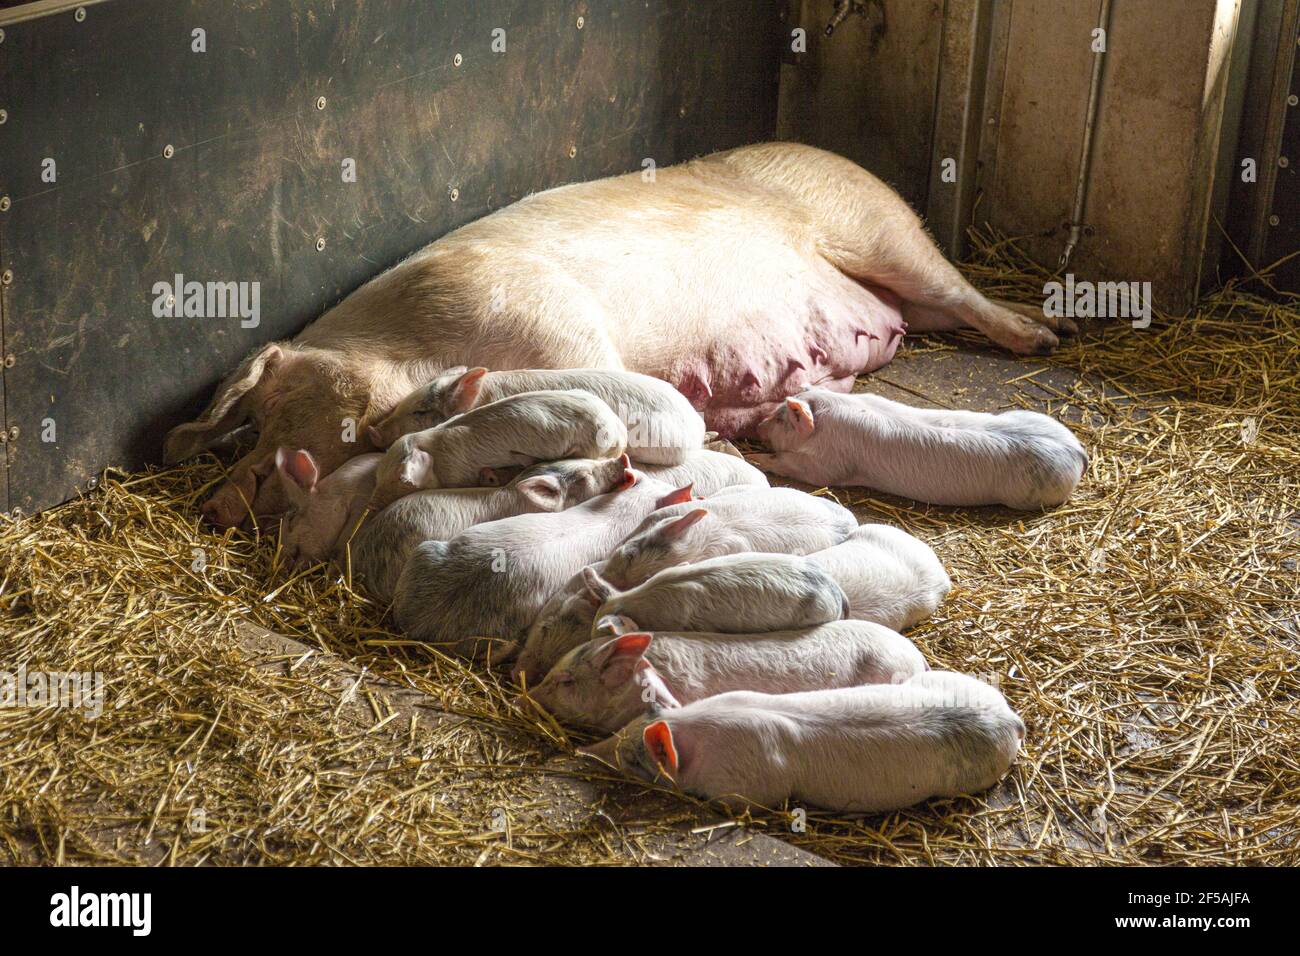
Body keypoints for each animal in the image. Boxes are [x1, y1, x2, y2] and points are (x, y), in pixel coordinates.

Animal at [754, 387, 1086, 512]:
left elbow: (797, 467)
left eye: (782, 419)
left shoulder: (830, 464)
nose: (759, 424)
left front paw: (756, 458)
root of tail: (1078, 452)